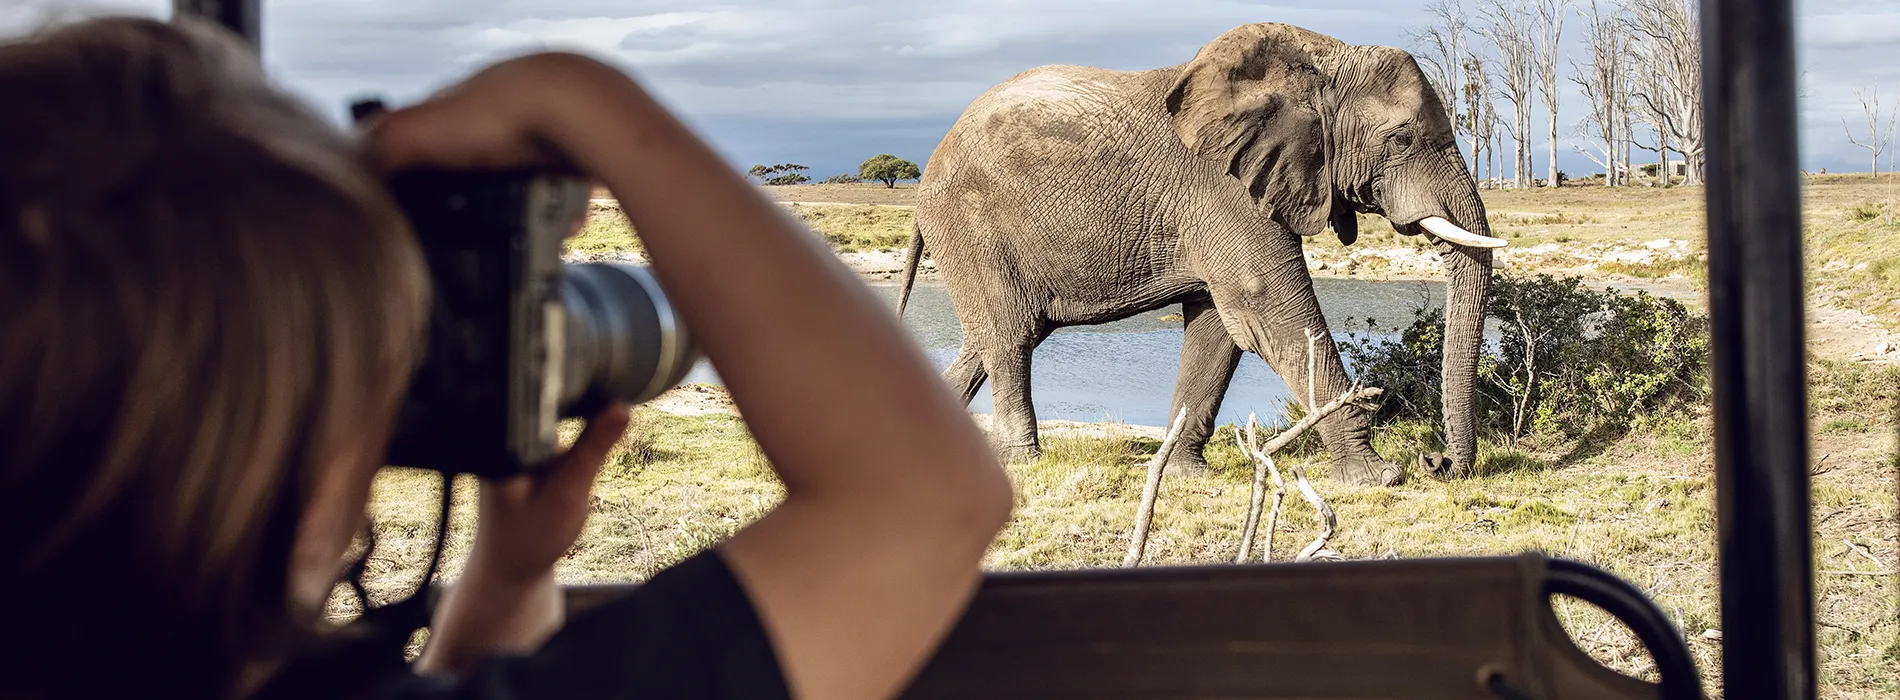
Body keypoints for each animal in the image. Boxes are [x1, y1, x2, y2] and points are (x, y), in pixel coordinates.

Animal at [895, 22, 1506, 487]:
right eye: (1401, 140)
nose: (1436, 462)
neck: (1319, 60)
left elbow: (1218, 328)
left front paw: (1186, 475)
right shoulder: (1225, 190)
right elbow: (1268, 310)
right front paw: (1377, 479)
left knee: (991, 341)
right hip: (970, 226)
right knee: (1010, 340)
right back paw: (1025, 461)